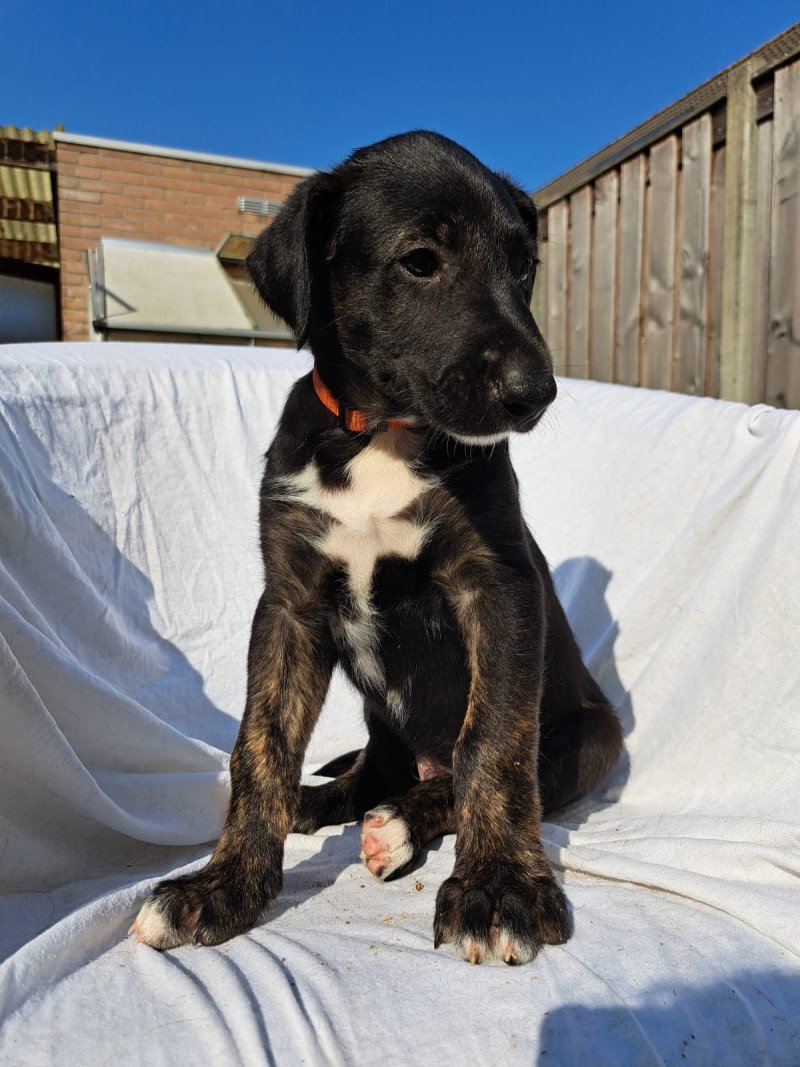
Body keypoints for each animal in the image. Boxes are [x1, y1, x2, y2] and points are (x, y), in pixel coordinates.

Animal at [131, 129, 622, 964]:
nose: (536, 392)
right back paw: (326, 802)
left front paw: (499, 889)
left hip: (594, 737)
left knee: (453, 776)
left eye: (523, 265)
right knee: (370, 774)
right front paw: (222, 887)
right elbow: (259, 746)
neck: (382, 433)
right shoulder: (289, 604)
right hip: (382, 727)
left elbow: (493, 742)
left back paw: (397, 825)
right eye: (420, 260)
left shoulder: (496, 585)